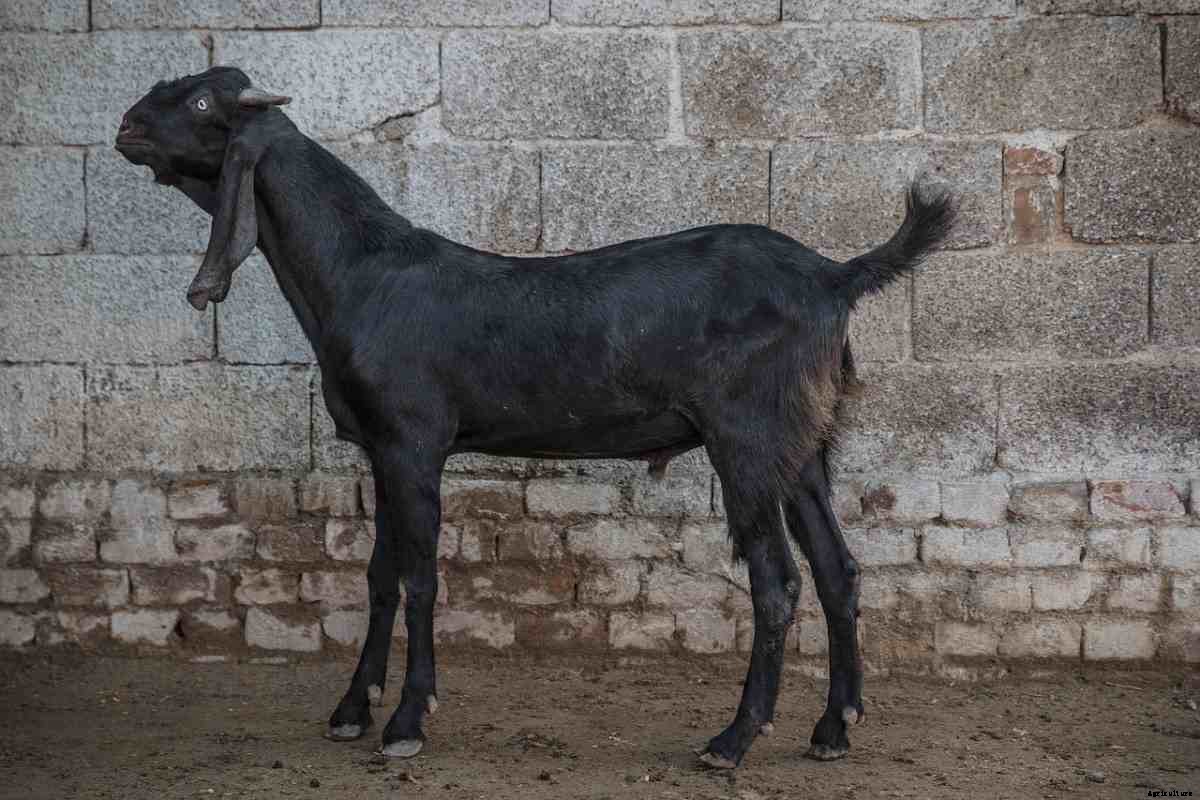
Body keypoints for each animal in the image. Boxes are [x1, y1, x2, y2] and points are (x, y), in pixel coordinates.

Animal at [116, 67, 954, 768]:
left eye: (202, 103)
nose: (125, 125)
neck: (362, 271)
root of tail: (833, 276)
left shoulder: (414, 441)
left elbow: (419, 575)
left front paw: (407, 722)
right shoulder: (382, 448)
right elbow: (380, 572)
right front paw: (352, 709)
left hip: (747, 436)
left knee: (777, 580)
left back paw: (734, 739)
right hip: (803, 442)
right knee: (838, 568)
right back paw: (833, 728)